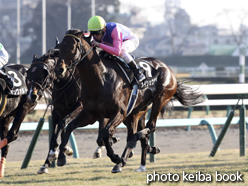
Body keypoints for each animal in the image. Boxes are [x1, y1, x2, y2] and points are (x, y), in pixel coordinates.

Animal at [54, 29, 203, 173]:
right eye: (60, 48)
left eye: (72, 47)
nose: (59, 69)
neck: (100, 78)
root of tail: (168, 69)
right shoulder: (90, 114)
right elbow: (70, 126)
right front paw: (61, 157)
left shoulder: (119, 113)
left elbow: (105, 133)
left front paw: (115, 157)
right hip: (136, 112)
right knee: (140, 133)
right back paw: (134, 162)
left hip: (159, 99)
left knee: (149, 127)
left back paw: (130, 152)